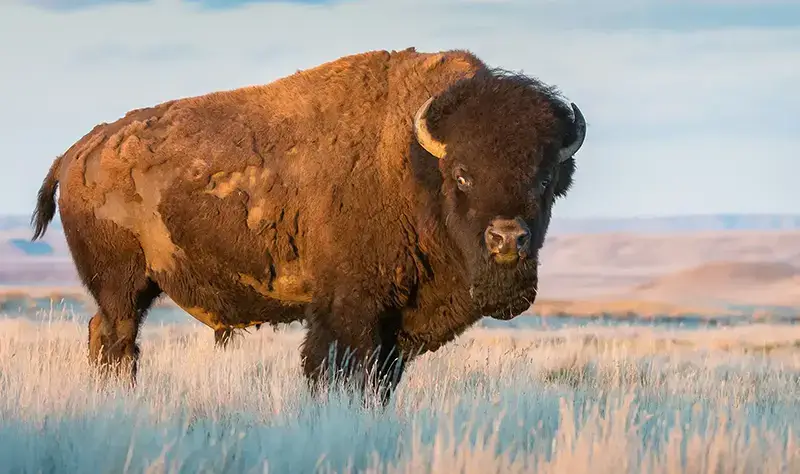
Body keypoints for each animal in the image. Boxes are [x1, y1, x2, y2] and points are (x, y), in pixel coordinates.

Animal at [30, 47, 586, 403]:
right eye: (463, 175)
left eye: (543, 180)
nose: (507, 239)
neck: (416, 164)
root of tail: (78, 151)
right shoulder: (347, 310)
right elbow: (333, 371)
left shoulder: (394, 329)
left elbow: (379, 382)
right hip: (122, 286)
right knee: (116, 339)